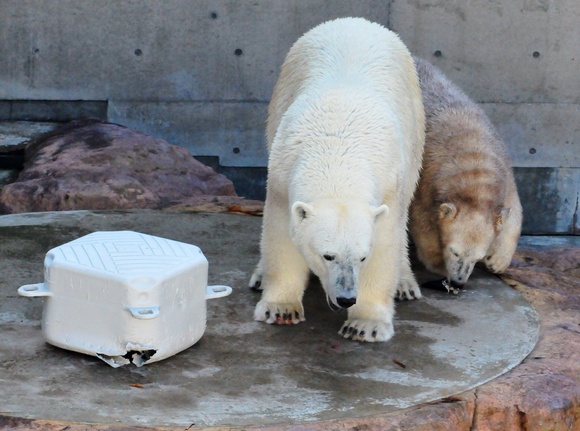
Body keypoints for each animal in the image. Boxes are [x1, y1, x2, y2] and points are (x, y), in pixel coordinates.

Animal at [250, 17, 426, 344]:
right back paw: (258, 275)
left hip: (415, 123)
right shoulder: (281, 176)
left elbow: (386, 242)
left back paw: (405, 283)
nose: (346, 298)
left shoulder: (389, 184)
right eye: (327, 256)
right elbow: (280, 233)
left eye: (362, 258)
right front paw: (280, 308)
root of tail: (355, 21)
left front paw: (366, 324)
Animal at [410, 58, 524, 286]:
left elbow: (514, 210)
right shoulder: (425, 181)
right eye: (454, 252)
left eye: (478, 257)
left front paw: (497, 261)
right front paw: (439, 264)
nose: (459, 280)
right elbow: (423, 222)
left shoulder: (504, 170)